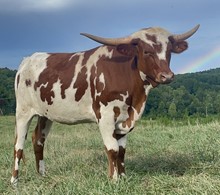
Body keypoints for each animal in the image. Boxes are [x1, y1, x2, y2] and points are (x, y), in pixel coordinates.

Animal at [10, 25, 199, 185]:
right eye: (146, 51)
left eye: (169, 51)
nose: (167, 76)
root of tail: (28, 59)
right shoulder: (106, 116)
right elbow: (112, 149)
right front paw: (113, 180)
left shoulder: (125, 119)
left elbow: (122, 151)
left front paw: (123, 177)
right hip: (23, 112)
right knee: (18, 145)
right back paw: (14, 181)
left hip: (45, 114)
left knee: (38, 140)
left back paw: (42, 175)